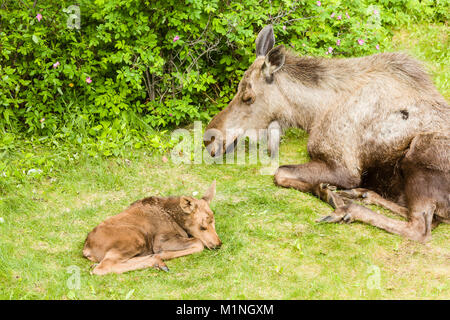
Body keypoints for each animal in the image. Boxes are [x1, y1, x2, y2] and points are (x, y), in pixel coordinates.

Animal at [83, 181, 221, 274]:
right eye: (202, 227)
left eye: (214, 222)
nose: (218, 244)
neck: (176, 218)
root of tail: (86, 249)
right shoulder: (160, 241)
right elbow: (199, 243)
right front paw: (163, 254)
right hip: (135, 239)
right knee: (103, 267)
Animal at [206, 25, 448, 241]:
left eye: (248, 97)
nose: (209, 139)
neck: (312, 114)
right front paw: (328, 190)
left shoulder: (344, 168)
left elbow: (280, 173)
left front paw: (329, 193)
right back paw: (361, 194)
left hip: (419, 153)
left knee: (420, 228)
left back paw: (347, 209)